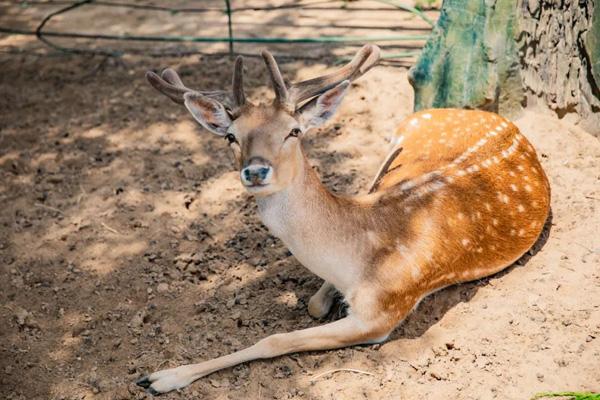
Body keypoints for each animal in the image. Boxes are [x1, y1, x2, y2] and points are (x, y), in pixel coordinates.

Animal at [138, 43, 552, 394]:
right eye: (230, 137)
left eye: (294, 131)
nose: (255, 171)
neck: (357, 255)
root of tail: (505, 121)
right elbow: (312, 304)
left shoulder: (382, 314)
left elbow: (275, 339)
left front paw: (162, 377)